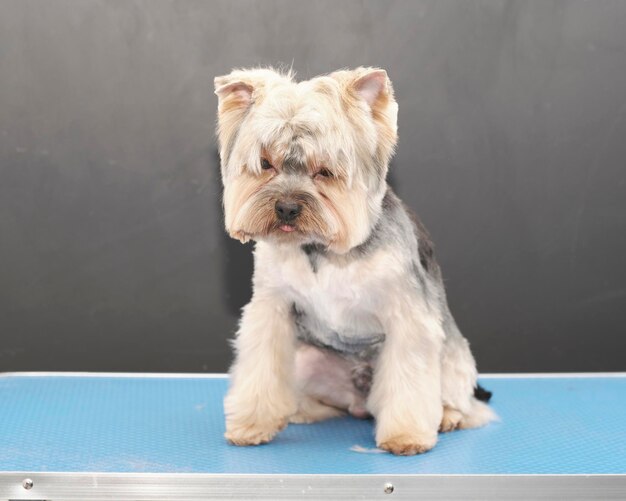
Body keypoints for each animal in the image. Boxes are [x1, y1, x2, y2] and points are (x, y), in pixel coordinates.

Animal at [214, 67, 492, 458]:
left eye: (324, 172)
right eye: (265, 164)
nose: (286, 208)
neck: (322, 250)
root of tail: (359, 401)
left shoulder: (408, 315)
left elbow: (410, 377)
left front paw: (406, 435)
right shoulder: (272, 307)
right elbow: (261, 369)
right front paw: (252, 424)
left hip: (455, 359)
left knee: (468, 402)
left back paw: (449, 415)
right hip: (306, 360)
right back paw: (302, 410)